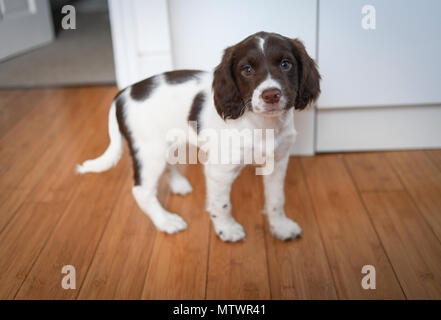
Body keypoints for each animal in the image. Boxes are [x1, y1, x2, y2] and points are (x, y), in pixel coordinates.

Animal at [77, 32, 320, 242]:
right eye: (247, 69)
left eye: (286, 64)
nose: (271, 95)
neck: (262, 125)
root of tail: (123, 93)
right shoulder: (219, 171)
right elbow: (221, 204)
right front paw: (227, 229)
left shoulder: (278, 162)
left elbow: (276, 199)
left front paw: (281, 227)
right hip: (149, 151)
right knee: (142, 191)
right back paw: (166, 221)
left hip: (166, 142)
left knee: (168, 163)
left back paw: (178, 184)